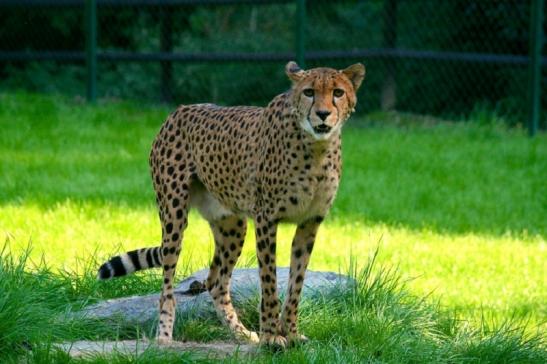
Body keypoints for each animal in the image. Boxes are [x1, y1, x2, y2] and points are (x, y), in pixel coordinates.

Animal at [97, 61, 366, 348]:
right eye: (309, 92)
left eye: (338, 92)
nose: (323, 114)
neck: (316, 149)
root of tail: (180, 110)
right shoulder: (266, 219)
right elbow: (269, 281)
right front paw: (272, 336)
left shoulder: (309, 223)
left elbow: (296, 282)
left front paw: (291, 332)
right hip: (174, 214)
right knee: (168, 285)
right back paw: (165, 337)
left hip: (233, 225)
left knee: (216, 280)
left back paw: (242, 334)